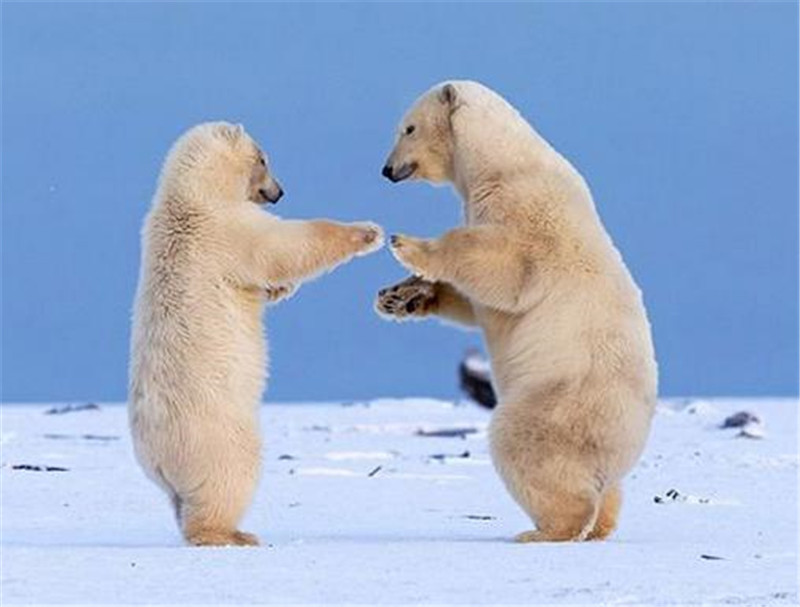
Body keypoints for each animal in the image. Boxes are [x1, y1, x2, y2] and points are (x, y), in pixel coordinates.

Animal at [129, 122, 384, 548]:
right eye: (264, 159)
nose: (279, 192)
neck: (189, 196)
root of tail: (155, 459)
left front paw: (280, 290)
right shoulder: (225, 229)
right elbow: (283, 246)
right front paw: (369, 232)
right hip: (215, 432)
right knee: (230, 475)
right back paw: (233, 533)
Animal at [378, 81, 660, 540]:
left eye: (408, 128)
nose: (387, 169)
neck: (500, 161)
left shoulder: (527, 211)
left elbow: (501, 271)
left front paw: (406, 244)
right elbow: (473, 301)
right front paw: (398, 296)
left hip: (560, 399)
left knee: (524, 444)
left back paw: (545, 530)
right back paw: (599, 525)